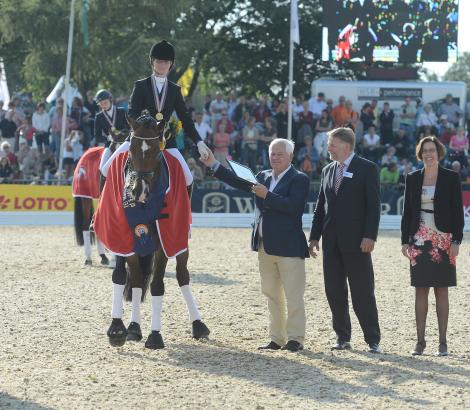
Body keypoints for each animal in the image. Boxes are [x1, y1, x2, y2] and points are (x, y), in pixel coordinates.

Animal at [105, 114, 210, 350]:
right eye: (131, 149)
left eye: (156, 151)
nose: (139, 191)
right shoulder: (123, 235)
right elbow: (122, 276)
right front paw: (118, 329)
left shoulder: (164, 241)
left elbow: (157, 285)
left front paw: (155, 335)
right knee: (135, 278)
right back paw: (134, 328)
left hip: (181, 241)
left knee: (182, 276)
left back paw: (199, 325)